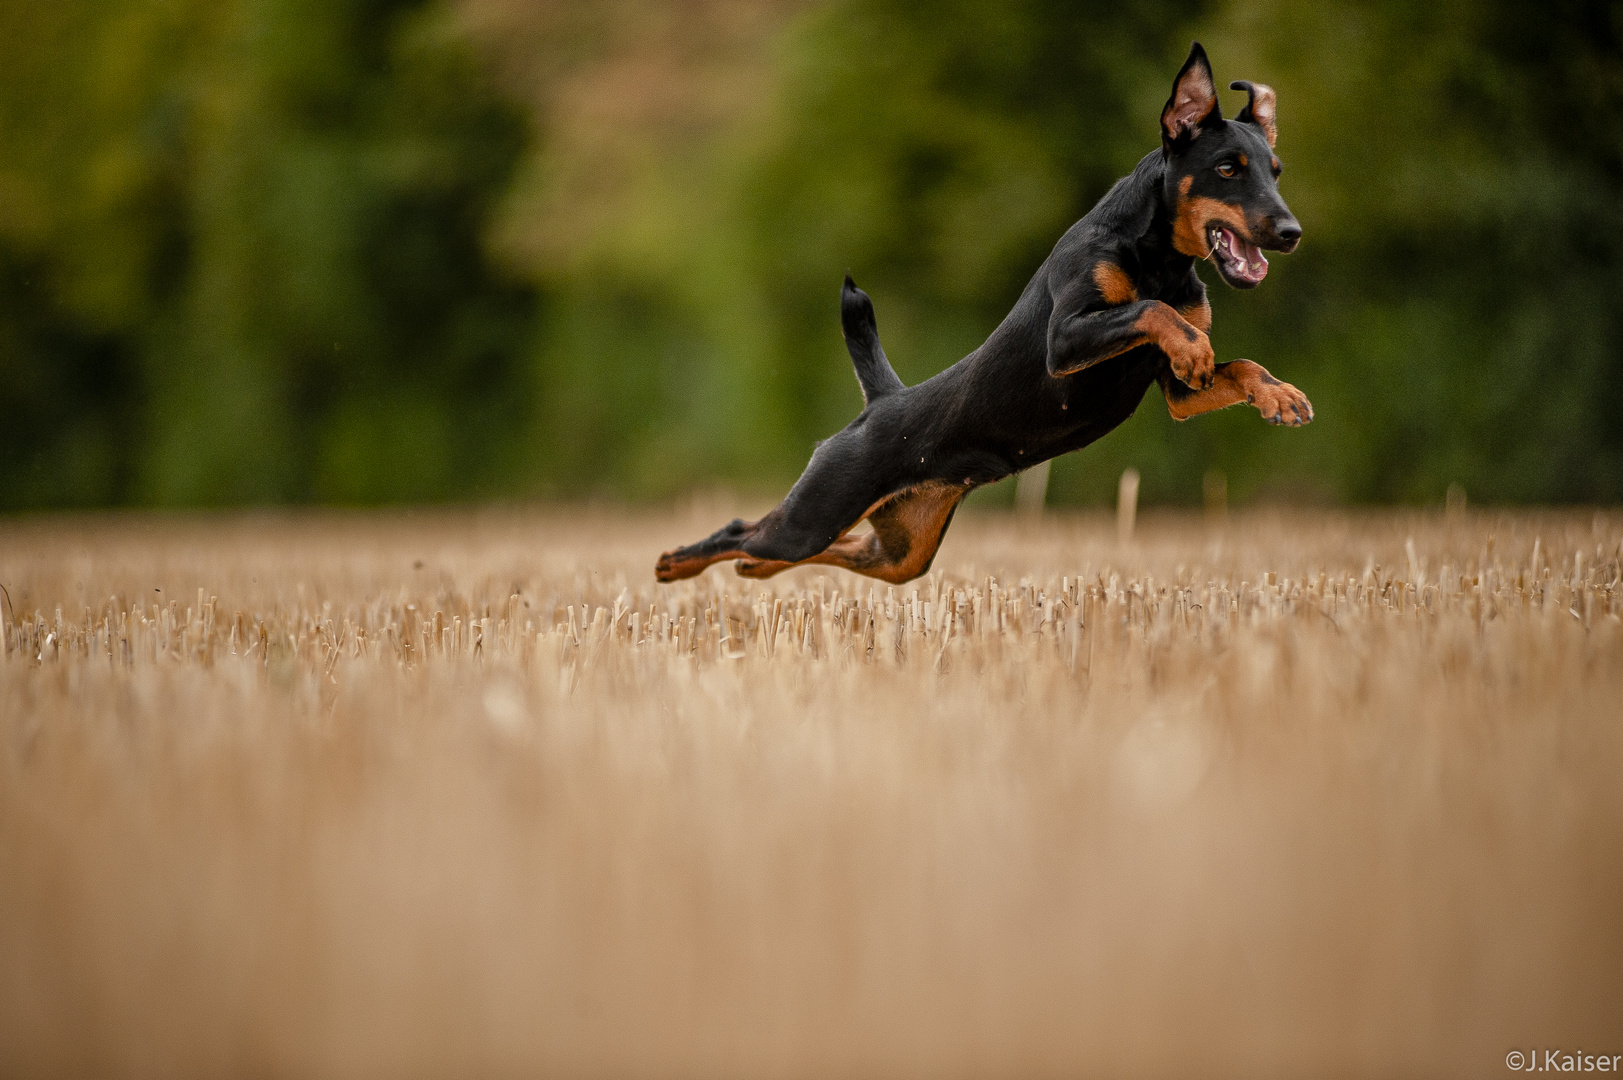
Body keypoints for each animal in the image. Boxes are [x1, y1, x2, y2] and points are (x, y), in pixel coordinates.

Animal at [655, 42, 1304, 584]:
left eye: (1276, 172)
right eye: (1227, 168)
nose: (1292, 232)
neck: (1160, 258)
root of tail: (880, 404)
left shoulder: (1178, 394)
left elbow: (1238, 364)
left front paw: (1281, 396)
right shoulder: (1065, 340)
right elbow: (1153, 312)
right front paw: (1197, 346)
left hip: (902, 551)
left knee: (823, 549)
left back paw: (749, 572)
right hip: (816, 512)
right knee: (741, 530)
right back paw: (674, 564)